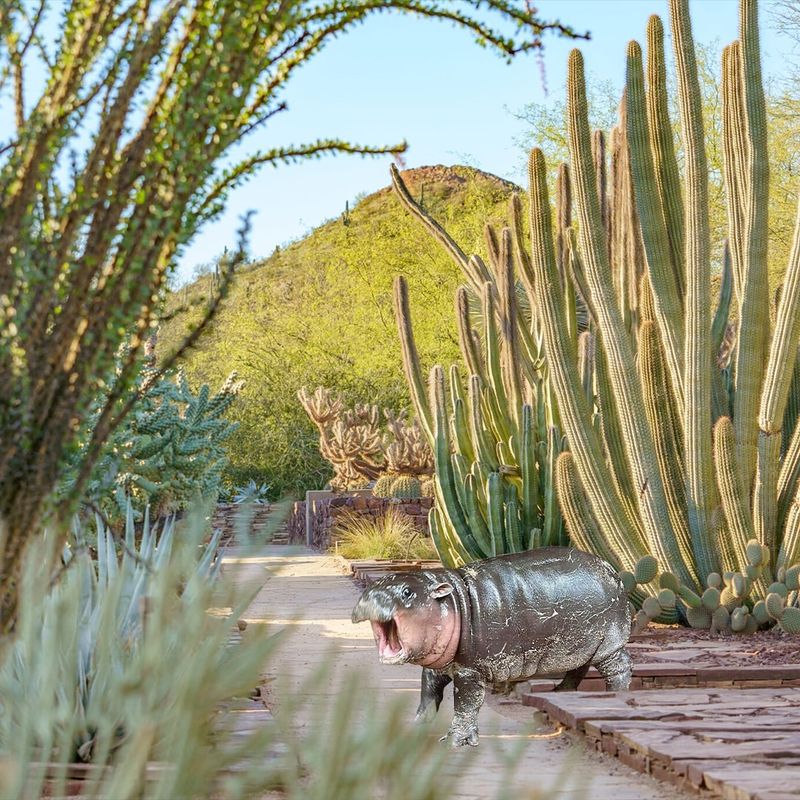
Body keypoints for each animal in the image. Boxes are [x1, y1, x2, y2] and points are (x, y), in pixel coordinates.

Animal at [350, 548, 632, 748]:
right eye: (375, 587)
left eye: (407, 592)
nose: (369, 597)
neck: (453, 601)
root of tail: (613, 571)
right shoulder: (436, 666)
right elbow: (428, 697)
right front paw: (414, 729)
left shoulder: (469, 670)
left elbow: (466, 703)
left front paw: (455, 742)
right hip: (580, 645)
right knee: (579, 667)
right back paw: (561, 692)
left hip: (609, 644)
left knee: (620, 667)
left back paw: (615, 696)